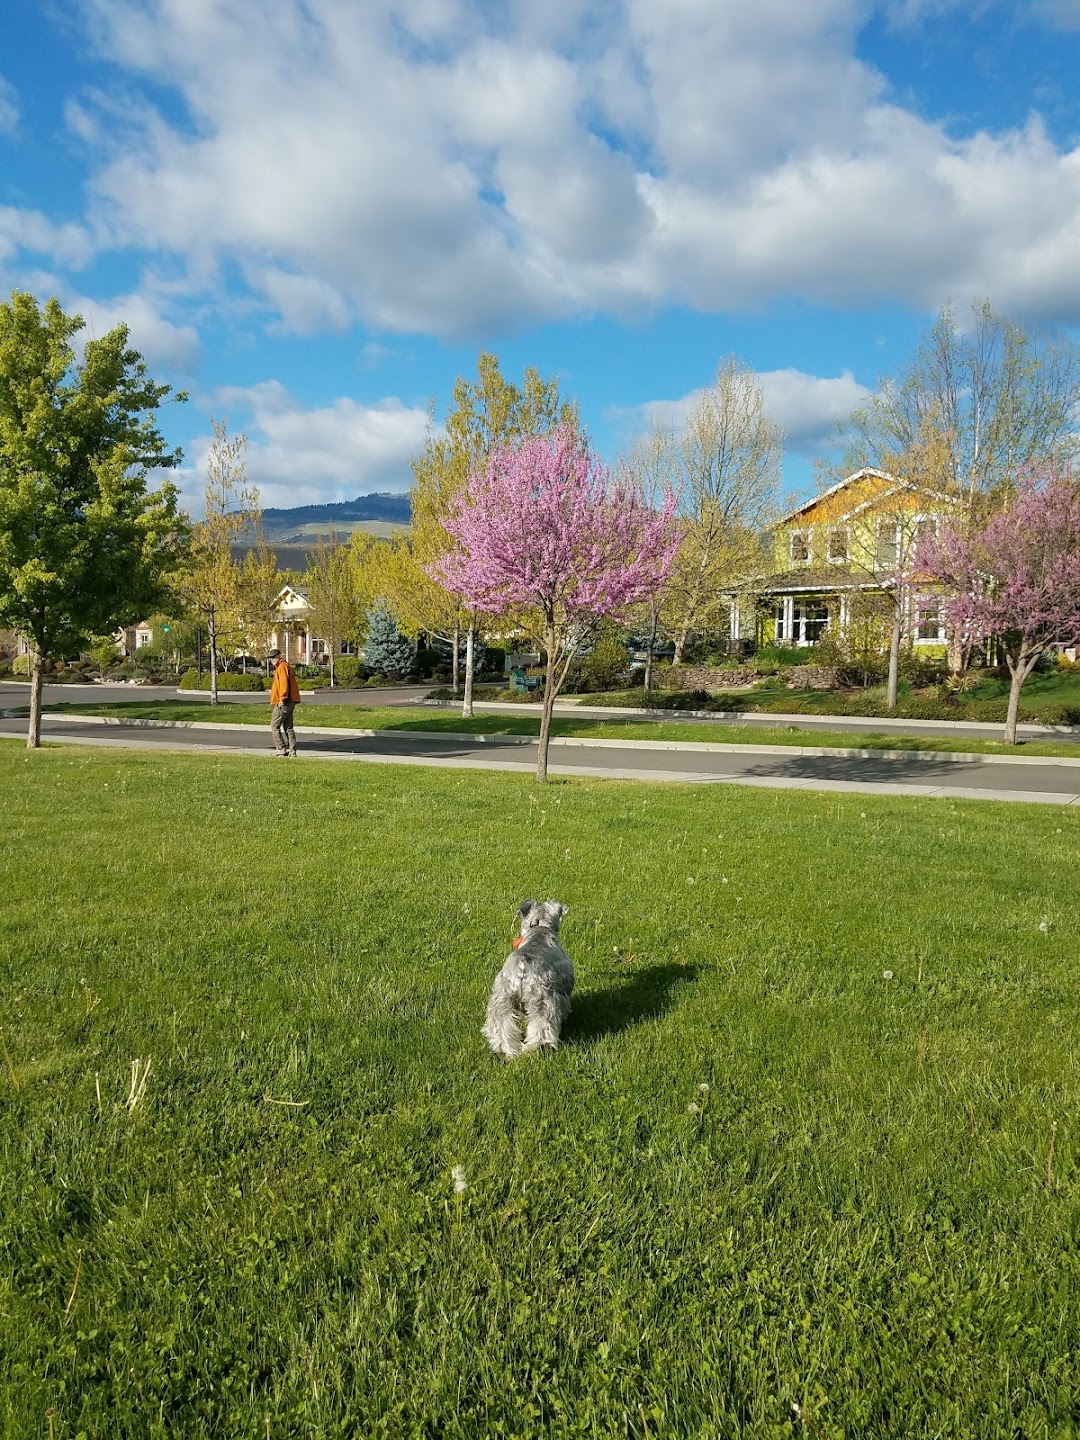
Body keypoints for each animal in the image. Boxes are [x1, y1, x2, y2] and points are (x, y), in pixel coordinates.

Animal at [486, 898, 578, 1059]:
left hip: (501, 1000)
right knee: (542, 1027)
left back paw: (506, 1050)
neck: (539, 928)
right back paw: (539, 1048)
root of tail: (522, 967)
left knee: (501, 1026)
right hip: (543, 1000)